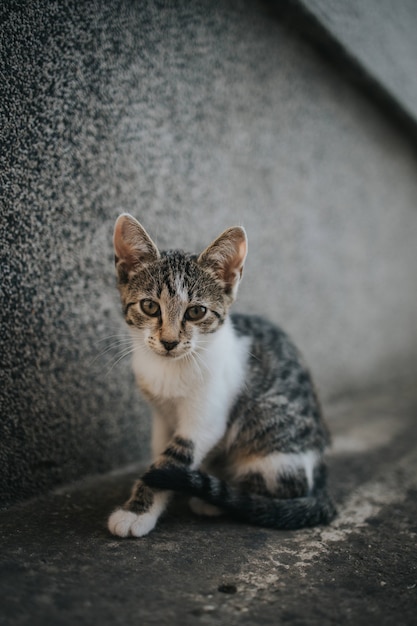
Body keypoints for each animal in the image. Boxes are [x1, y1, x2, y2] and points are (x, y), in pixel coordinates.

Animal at [106, 214, 334, 536]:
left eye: (196, 312)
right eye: (149, 306)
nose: (169, 341)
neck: (170, 369)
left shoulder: (206, 419)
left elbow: (170, 461)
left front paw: (136, 512)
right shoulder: (161, 416)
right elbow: (159, 454)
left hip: (271, 442)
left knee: (285, 486)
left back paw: (220, 498)